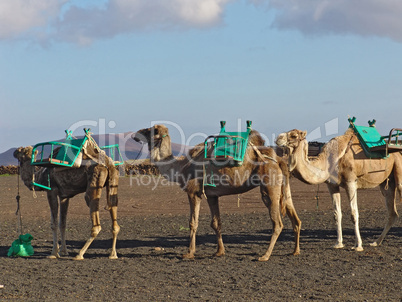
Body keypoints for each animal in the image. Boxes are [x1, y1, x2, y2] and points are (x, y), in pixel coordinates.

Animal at [133, 124, 302, 260]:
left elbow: (193, 222)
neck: (181, 166)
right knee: (295, 218)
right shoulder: (212, 195)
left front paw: (189, 253)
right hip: (284, 188)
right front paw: (219, 252)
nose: (135, 135)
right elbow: (216, 223)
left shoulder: (193, 192)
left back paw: (265, 256)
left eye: (150, 130)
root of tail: (278, 160)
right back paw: (295, 251)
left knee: (277, 223)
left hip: (270, 187)